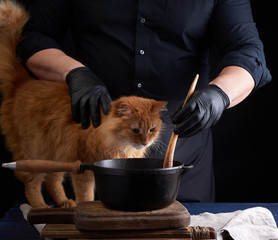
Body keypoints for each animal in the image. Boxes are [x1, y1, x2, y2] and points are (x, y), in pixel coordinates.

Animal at [0, 0, 166, 208]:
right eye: (135, 130)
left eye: (152, 129)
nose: (145, 142)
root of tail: (23, 82)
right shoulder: (84, 169)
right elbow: (86, 196)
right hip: (35, 152)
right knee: (33, 185)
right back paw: (40, 208)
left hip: (57, 154)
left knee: (52, 180)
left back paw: (64, 203)